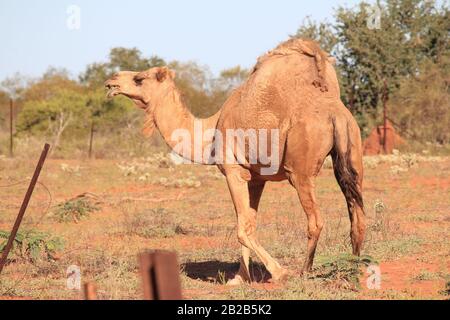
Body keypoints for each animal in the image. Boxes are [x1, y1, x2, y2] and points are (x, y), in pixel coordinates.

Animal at [105, 38, 366, 284]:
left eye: (139, 78)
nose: (111, 82)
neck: (210, 131)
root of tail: (334, 113)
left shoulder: (233, 170)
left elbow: (241, 229)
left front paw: (279, 272)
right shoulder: (256, 177)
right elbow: (248, 223)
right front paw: (240, 278)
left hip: (300, 169)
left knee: (316, 220)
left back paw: (304, 271)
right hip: (353, 150)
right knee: (358, 217)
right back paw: (353, 267)